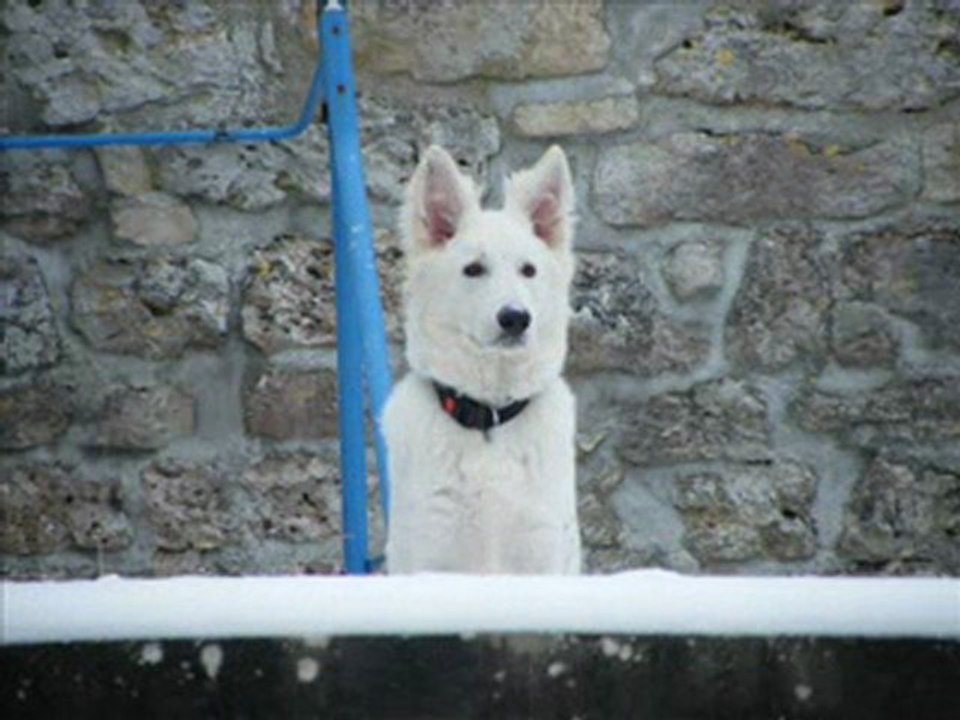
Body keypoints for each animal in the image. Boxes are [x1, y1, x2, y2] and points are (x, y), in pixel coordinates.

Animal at [383, 144, 581, 574]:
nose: (516, 318)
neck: (489, 419)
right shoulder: (433, 556)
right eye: (473, 269)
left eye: (528, 270)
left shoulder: (541, 556)